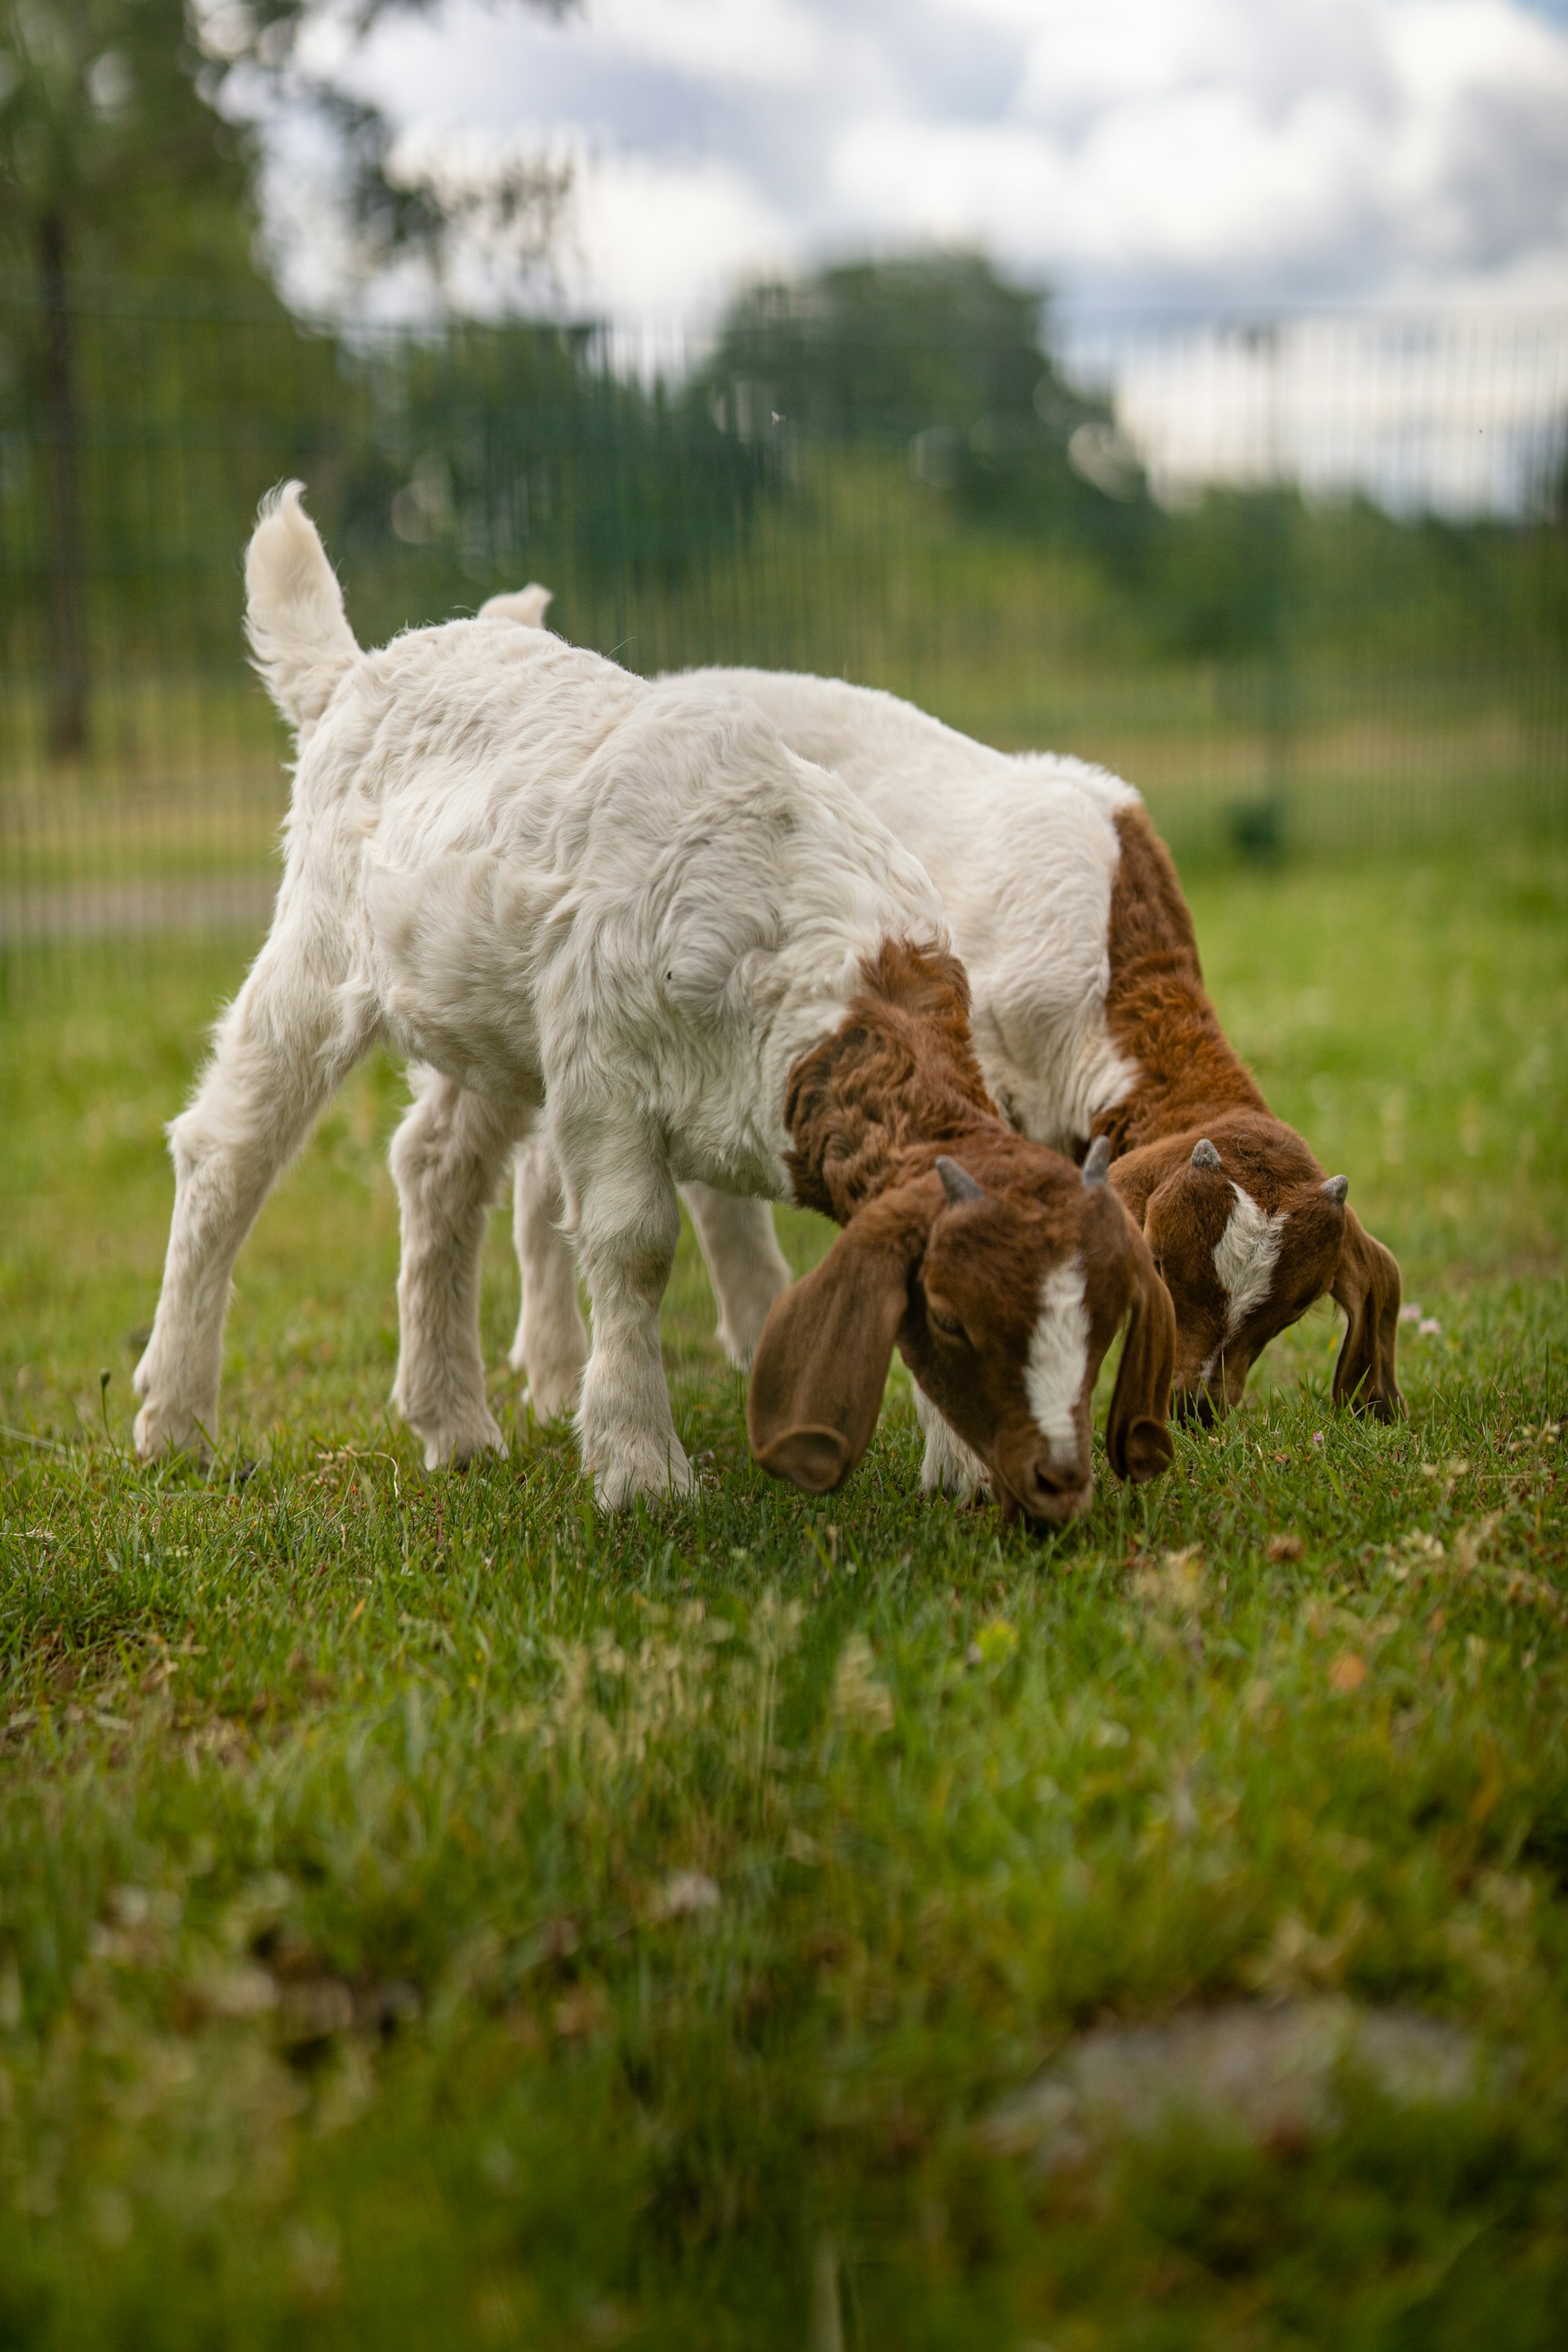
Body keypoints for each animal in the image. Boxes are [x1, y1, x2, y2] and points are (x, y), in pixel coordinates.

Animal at [130, 491, 1176, 1520]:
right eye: (956, 1319)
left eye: (1107, 1323)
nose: (1054, 1480)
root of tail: (355, 671)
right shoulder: (601, 1066)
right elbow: (634, 1247)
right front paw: (640, 1469)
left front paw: (957, 1468)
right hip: (320, 945)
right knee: (227, 1150)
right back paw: (177, 1423)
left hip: (492, 1017)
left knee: (435, 1166)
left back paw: (455, 1425)